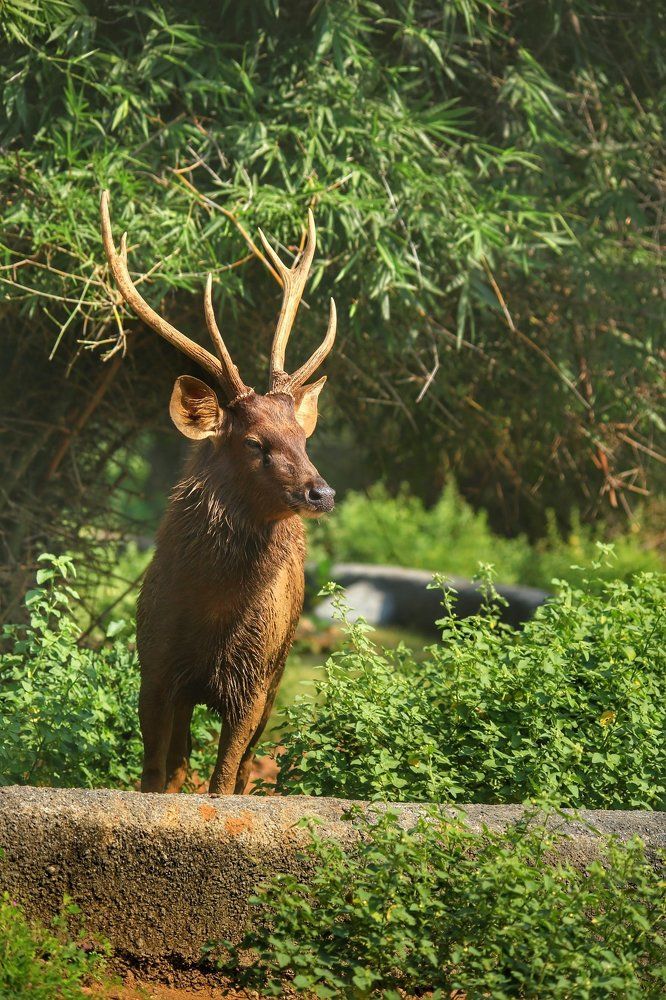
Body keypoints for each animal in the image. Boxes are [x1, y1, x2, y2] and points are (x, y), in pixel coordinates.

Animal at [100, 190, 337, 795]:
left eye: (303, 437)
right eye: (254, 442)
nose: (320, 493)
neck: (210, 619)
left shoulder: (253, 683)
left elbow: (225, 781)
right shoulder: (156, 667)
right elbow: (156, 774)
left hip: (280, 671)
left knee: (247, 766)